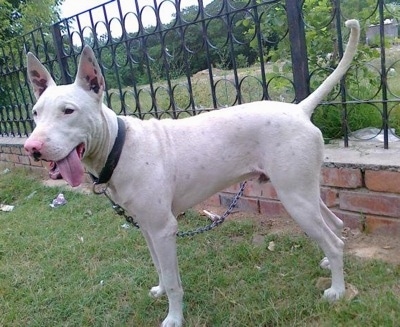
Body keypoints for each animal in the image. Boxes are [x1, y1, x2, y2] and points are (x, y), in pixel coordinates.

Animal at [24, 20, 360, 327]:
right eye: (35, 113)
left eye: (68, 111)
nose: (32, 148)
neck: (119, 146)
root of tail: (300, 109)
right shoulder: (147, 227)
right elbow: (160, 267)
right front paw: (160, 289)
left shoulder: (164, 228)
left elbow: (175, 282)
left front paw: (173, 318)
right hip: (303, 191)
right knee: (335, 224)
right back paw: (328, 262)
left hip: (294, 198)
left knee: (334, 241)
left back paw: (337, 290)